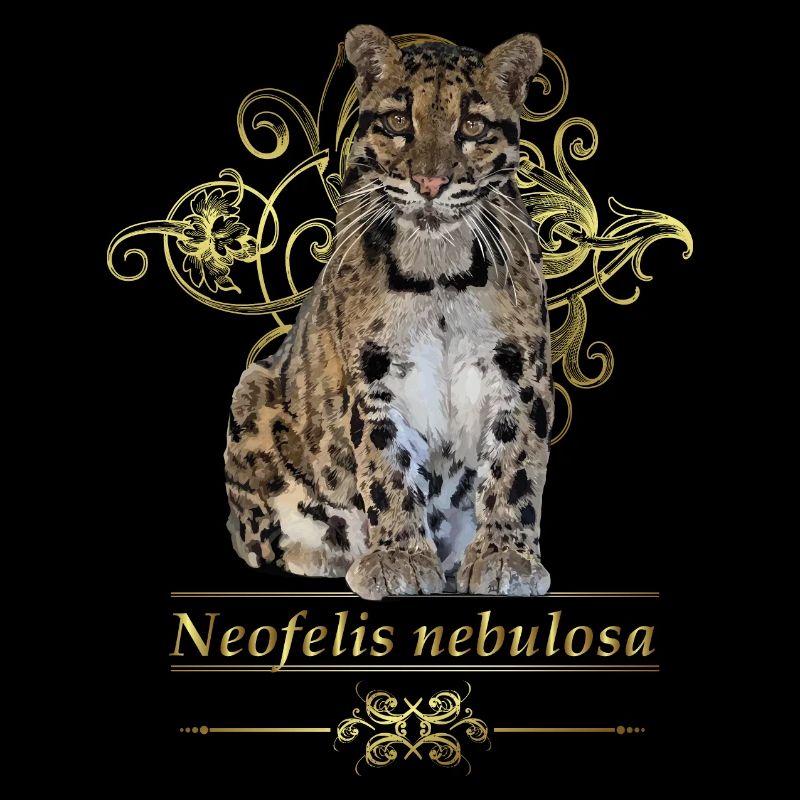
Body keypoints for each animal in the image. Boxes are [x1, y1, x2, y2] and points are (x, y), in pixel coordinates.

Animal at [224, 25, 554, 600]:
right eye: (400, 121)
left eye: (471, 125)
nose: (430, 184)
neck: (439, 268)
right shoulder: (374, 372)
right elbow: (386, 464)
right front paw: (398, 558)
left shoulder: (520, 369)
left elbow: (515, 463)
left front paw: (504, 557)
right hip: (252, 394)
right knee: (259, 535)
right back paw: (328, 554)